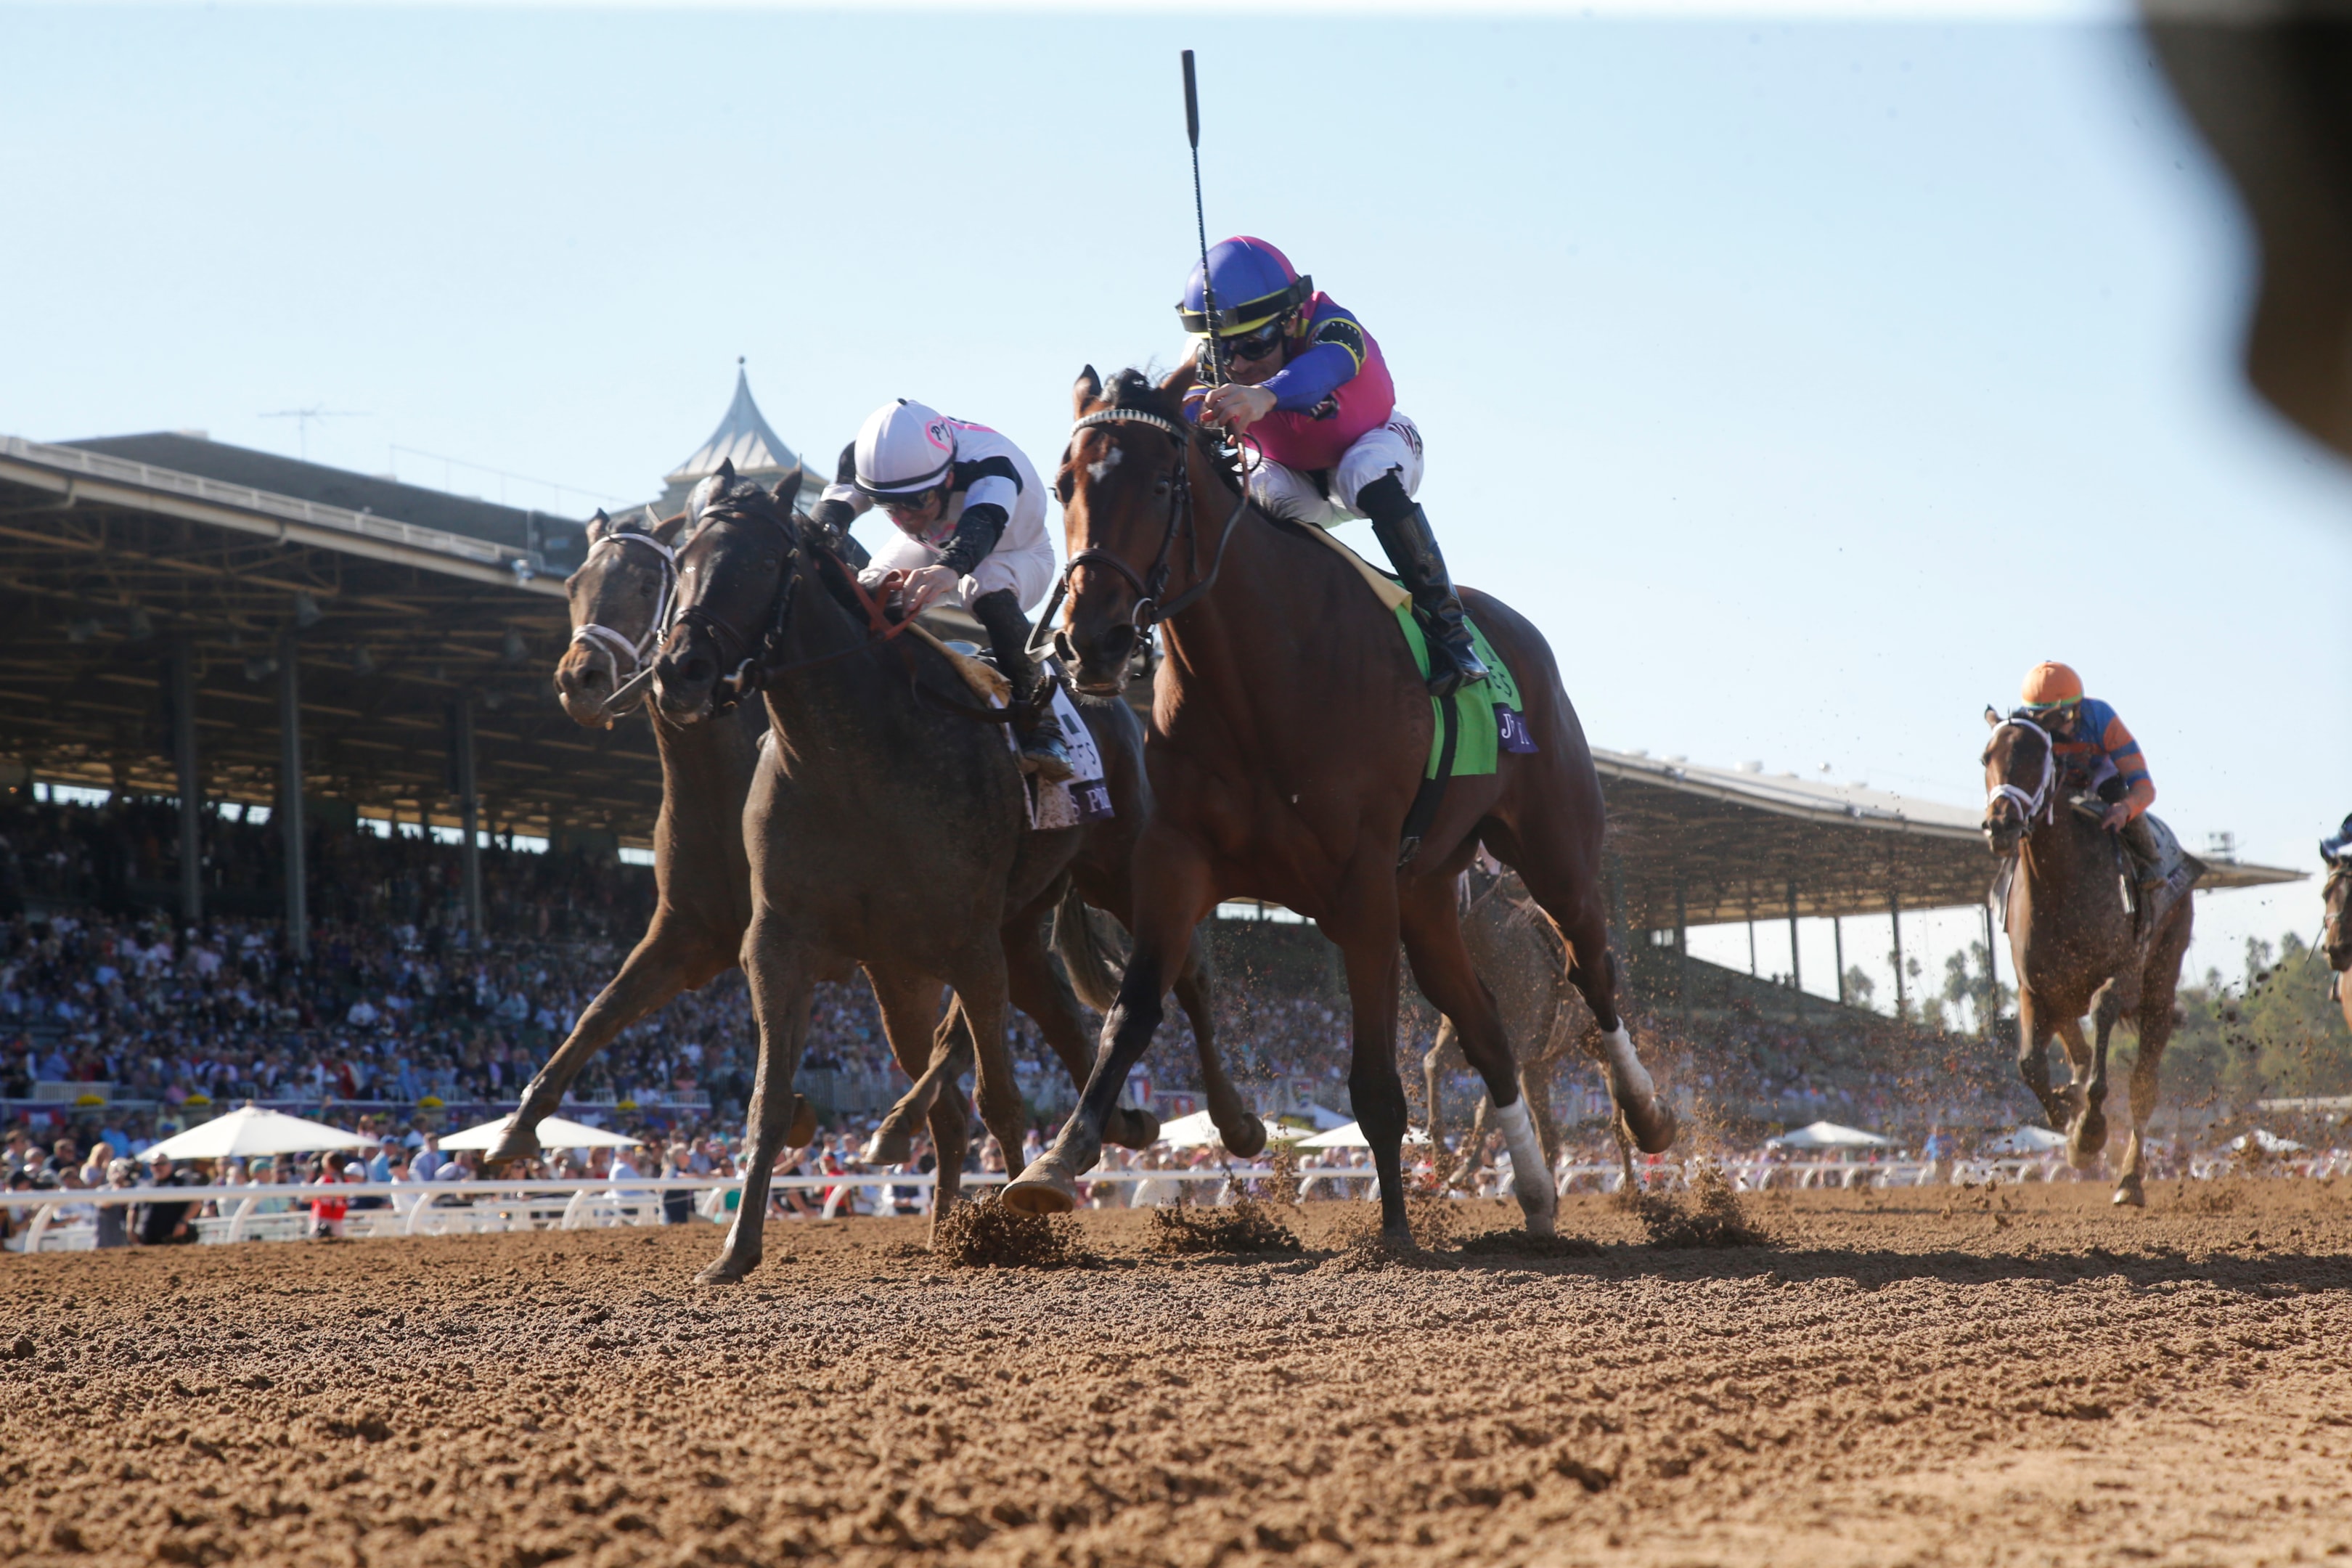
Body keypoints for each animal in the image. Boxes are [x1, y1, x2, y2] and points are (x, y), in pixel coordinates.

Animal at [653, 460, 1260, 1278]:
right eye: (682, 562)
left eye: (758, 562)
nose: (679, 671)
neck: (852, 759)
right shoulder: (782, 941)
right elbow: (771, 1099)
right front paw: (735, 1250)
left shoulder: (967, 942)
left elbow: (1001, 1095)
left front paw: (1019, 1229)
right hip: (965, 947)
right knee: (1023, 1025)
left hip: (1118, 877)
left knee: (1182, 977)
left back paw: (1229, 1123)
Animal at [1002, 362, 1683, 1241]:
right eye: (1062, 485)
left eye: (1159, 483)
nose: (1093, 641)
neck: (1262, 677)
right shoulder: (1175, 860)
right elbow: (1134, 1008)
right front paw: (1056, 1160)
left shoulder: (1360, 887)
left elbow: (1373, 1081)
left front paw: (1392, 1230)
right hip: (1428, 896)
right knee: (1487, 1033)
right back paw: (1535, 1196)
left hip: (1555, 851)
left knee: (1590, 970)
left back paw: (1648, 1116)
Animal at [1985, 714, 2201, 1213]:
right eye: (1987, 756)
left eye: (2037, 757)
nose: (2001, 823)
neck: (2061, 881)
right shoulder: (2034, 988)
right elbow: (2030, 1063)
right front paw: (2067, 1118)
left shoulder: (2121, 973)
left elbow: (2103, 1033)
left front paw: (2088, 1132)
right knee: (2075, 1049)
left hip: (2161, 982)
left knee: (2143, 1087)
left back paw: (2130, 1179)